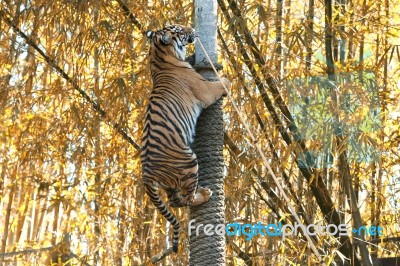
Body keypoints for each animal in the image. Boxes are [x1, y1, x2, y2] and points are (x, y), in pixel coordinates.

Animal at [141, 23, 230, 252]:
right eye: (177, 29)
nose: (191, 28)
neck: (158, 56)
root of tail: (146, 175)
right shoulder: (205, 90)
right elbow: (219, 84)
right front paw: (226, 79)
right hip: (188, 162)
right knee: (187, 198)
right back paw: (205, 194)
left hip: (170, 183)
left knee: (175, 201)